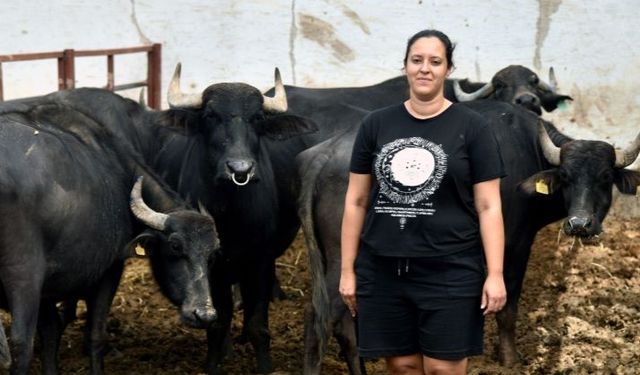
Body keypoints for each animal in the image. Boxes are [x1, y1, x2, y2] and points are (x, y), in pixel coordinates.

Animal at [0, 100, 220, 375]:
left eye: (212, 255)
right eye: (175, 247)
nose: (205, 314)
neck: (117, 168)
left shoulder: (48, 290)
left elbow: (51, 331)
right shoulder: (110, 270)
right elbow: (95, 335)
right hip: (23, 279)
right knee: (21, 344)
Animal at [296, 101, 640, 374]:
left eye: (605, 177)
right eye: (566, 177)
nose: (579, 224)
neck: (528, 150)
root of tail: (325, 155)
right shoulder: (515, 244)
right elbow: (507, 305)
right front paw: (509, 359)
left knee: (342, 322)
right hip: (342, 258)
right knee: (318, 317)